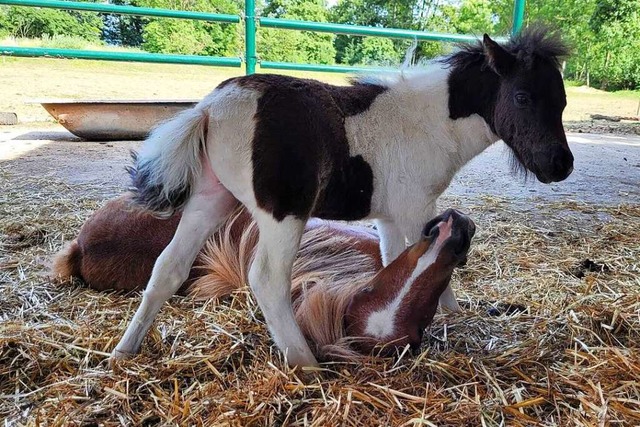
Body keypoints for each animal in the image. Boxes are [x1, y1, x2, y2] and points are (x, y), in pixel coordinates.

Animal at [114, 28, 576, 368]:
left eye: (563, 100)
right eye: (522, 96)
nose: (561, 165)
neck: (431, 121)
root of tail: (208, 108)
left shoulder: (390, 218)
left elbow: (395, 265)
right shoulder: (417, 211)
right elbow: (437, 267)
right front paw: (454, 317)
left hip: (211, 199)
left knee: (168, 268)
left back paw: (123, 352)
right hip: (283, 215)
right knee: (267, 280)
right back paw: (306, 364)